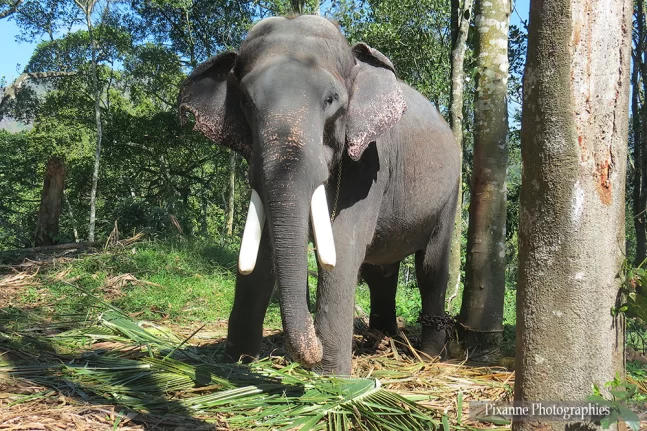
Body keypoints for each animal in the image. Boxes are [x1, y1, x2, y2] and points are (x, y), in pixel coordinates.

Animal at [178, 15, 460, 375]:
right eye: (245, 101)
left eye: (330, 100)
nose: (310, 349)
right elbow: (263, 248)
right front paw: (235, 364)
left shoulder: (370, 162)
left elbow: (343, 244)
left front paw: (331, 378)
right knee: (381, 271)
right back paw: (381, 341)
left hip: (450, 193)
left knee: (430, 269)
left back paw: (426, 357)